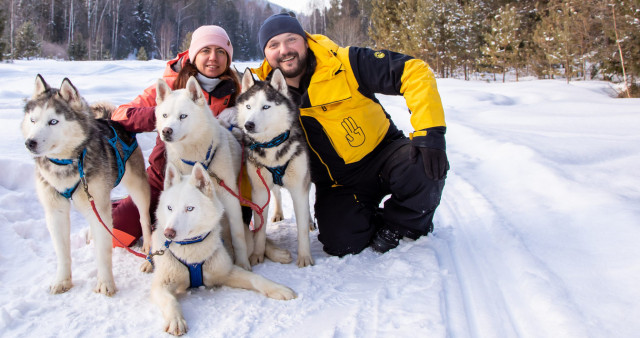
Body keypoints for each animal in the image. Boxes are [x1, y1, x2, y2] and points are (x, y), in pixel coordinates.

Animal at [21, 74, 152, 296]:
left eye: (53, 121)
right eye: (33, 120)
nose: (30, 143)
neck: (66, 163)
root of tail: (109, 119)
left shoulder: (99, 205)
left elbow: (103, 251)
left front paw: (106, 283)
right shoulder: (55, 211)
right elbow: (62, 252)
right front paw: (62, 281)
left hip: (137, 187)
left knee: (143, 217)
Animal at [151, 163, 296, 336]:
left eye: (190, 208)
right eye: (169, 208)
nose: (168, 233)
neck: (192, 251)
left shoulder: (226, 271)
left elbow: (257, 278)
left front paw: (278, 288)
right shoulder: (160, 285)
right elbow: (169, 300)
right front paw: (175, 320)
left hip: (243, 238)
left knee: (258, 239)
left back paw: (278, 254)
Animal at [236, 68, 314, 268]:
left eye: (266, 107)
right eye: (248, 106)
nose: (248, 125)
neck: (272, 144)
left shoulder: (299, 187)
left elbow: (302, 228)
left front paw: (305, 256)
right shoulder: (259, 190)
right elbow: (260, 228)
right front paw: (257, 254)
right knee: (277, 192)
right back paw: (278, 212)